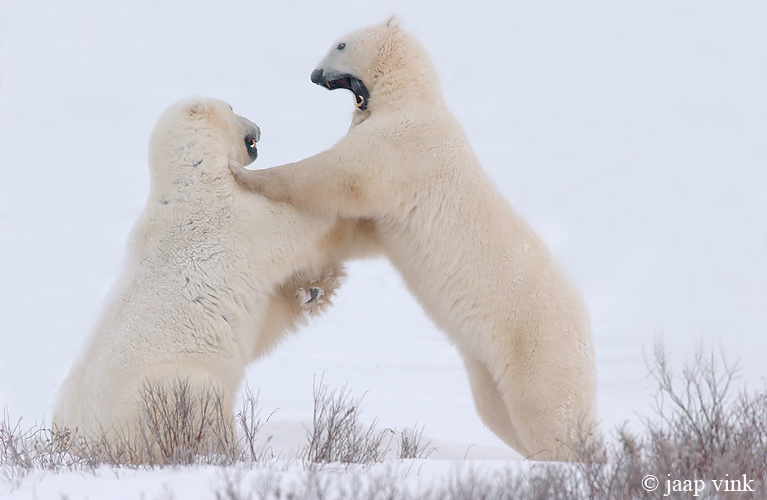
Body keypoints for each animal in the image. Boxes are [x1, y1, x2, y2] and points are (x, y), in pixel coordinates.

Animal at [52, 95, 376, 458]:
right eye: (232, 107)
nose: (258, 127)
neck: (193, 182)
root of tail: (83, 440)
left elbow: (266, 319)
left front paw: (315, 288)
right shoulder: (239, 219)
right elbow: (299, 223)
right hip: (170, 388)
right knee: (205, 409)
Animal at [231, 16, 604, 460]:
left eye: (340, 45)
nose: (314, 74)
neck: (412, 99)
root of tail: (586, 330)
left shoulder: (404, 144)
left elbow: (339, 173)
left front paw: (246, 175)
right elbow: (360, 227)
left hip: (537, 344)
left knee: (547, 413)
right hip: (486, 362)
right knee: (496, 410)